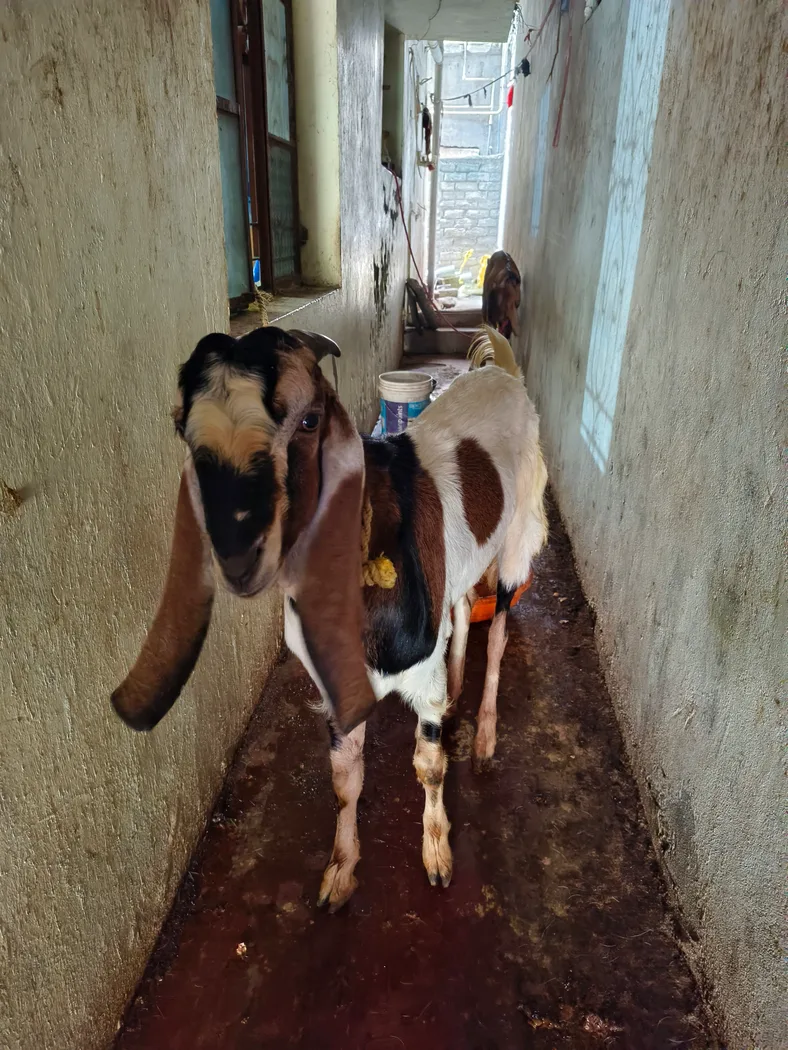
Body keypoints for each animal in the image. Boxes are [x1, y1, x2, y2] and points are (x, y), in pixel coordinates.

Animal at [111, 325, 547, 910]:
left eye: (309, 419)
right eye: (184, 429)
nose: (238, 554)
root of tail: (501, 371)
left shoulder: (421, 674)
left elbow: (428, 765)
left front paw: (436, 856)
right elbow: (344, 778)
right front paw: (339, 873)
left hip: (521, 529)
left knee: (498, 630)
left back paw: (483, 743)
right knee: (458, 610)